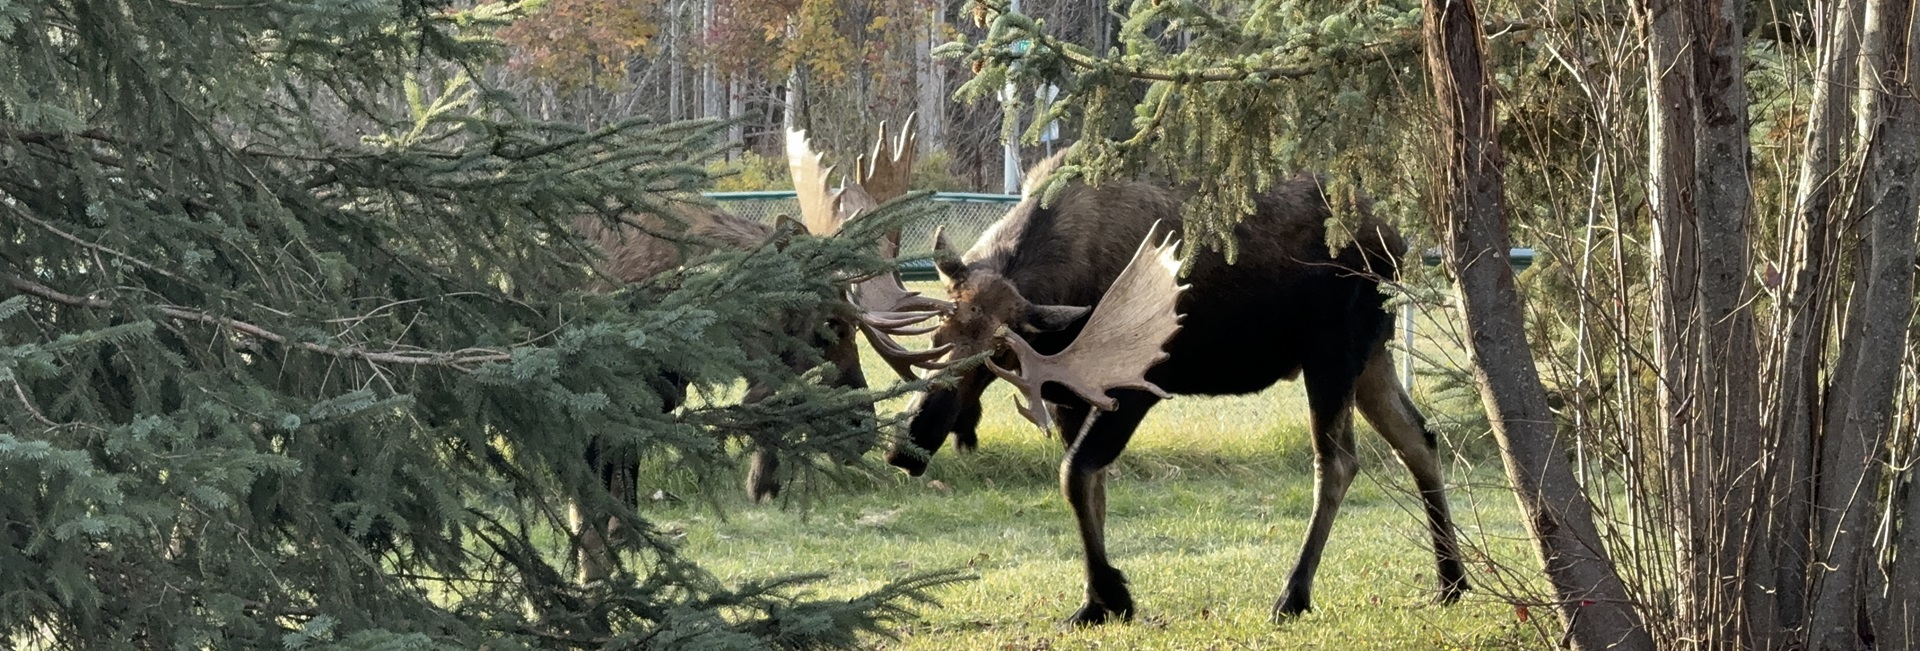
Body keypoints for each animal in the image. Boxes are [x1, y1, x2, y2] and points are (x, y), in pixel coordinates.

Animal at [883, 158, 1466, 626]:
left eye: (1000, 355)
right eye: (937, 333)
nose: (908, 445)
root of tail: (1399, 242)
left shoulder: (1138, 385)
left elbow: (1075, 475)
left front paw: (1113, 595)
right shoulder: (1070, 394)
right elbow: (1089, 485)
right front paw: (1097, 602)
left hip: (1331, 352)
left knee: (1339, 460)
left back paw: (1294, 595)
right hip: (1370, 355)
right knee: (1417, 439)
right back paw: (1451, 581)